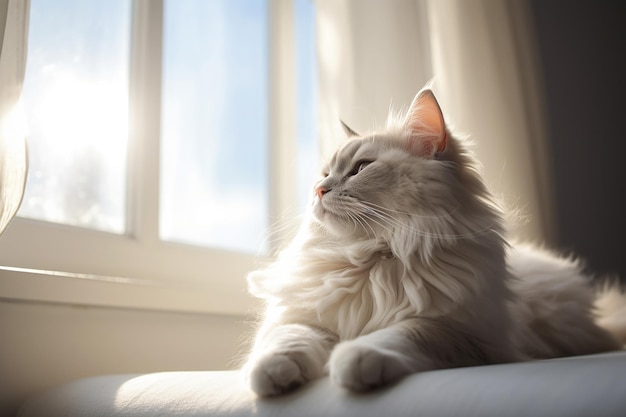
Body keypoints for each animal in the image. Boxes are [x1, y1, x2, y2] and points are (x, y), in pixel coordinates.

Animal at [241, 87, 620, 394]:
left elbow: (398, 334)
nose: (319, 190)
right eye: (324, 174)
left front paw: (355, 359)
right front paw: (272, 374)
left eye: (360, 168)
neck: (373, 256)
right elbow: (287, 341)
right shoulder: (302, 319)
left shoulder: (455, 331)